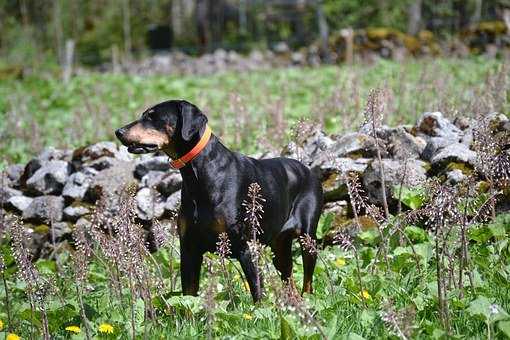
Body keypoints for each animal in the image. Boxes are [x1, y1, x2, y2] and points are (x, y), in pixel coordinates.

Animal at [115, 100, 322, 300]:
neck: (199, 175)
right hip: (279, 248)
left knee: (308, 283)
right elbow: (188, 296)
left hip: (307, 240)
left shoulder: (247, 248)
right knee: (289, 280)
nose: (118, 132)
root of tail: (308, 170)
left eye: (152, 117)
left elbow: (257, 293)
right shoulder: (189, 250)